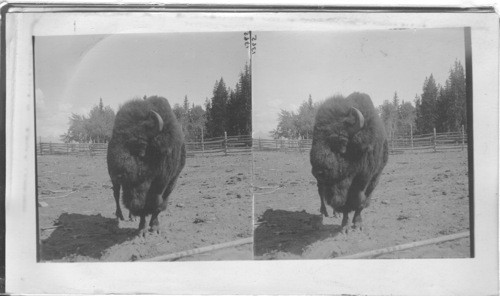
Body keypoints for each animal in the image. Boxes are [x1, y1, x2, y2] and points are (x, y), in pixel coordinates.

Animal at [107, 96, 186, 237]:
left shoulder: (170, 183)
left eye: (141, 147)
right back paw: (119, 216)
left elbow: (159, 205)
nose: (117, 174)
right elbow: (140, 206)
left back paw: (132, 217)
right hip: (115, 183)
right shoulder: (135, 189)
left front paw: (155, 227)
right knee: (116, 195)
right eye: (114, 143)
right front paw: (142, 230)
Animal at [310, 92, 388, 234]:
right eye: (314, 140)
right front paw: (345, 226)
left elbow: (360, 202)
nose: (318, 171)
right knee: (321, 193)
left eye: (341, 141)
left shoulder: (371, 180)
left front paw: (358, 224)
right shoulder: (338, 187)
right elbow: (345, 205)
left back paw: (336, 213)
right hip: (323, 184)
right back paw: (324, 212)